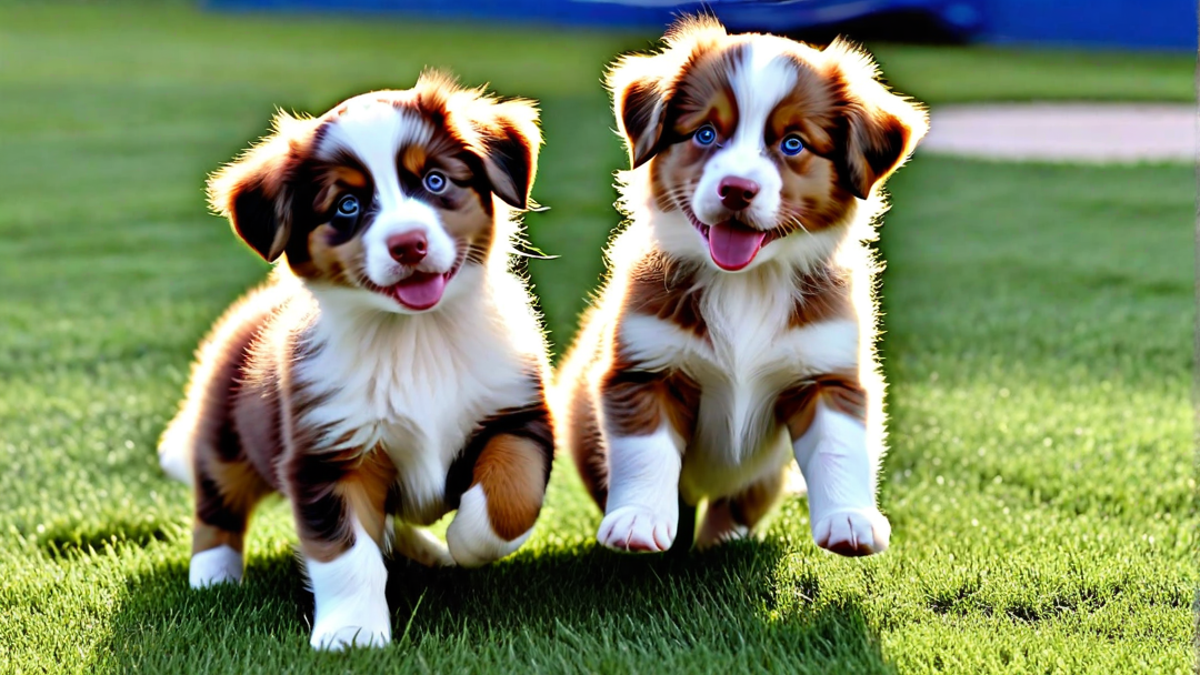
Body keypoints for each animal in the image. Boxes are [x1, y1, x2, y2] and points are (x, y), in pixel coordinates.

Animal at [157, 73, 554, 648]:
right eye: (347, 205)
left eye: (434, 180)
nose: (408, 244)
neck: (416, 340)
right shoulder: (328, 456)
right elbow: (345, 555)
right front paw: (352, 635)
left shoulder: (516, 414)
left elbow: (511, 495)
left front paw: (467, 541)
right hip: (225, 437)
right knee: (216, 505)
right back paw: (213, 576)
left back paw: (428, 551)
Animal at [552, 19, 926, 557]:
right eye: (706, 134)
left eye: (793, 144)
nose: (736, 189)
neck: (745, 283)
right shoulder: (642, 370)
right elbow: (646, 452)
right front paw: (638, 520)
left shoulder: (828, 374)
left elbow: (838, 446)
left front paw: (851, 519)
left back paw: (727, 537)